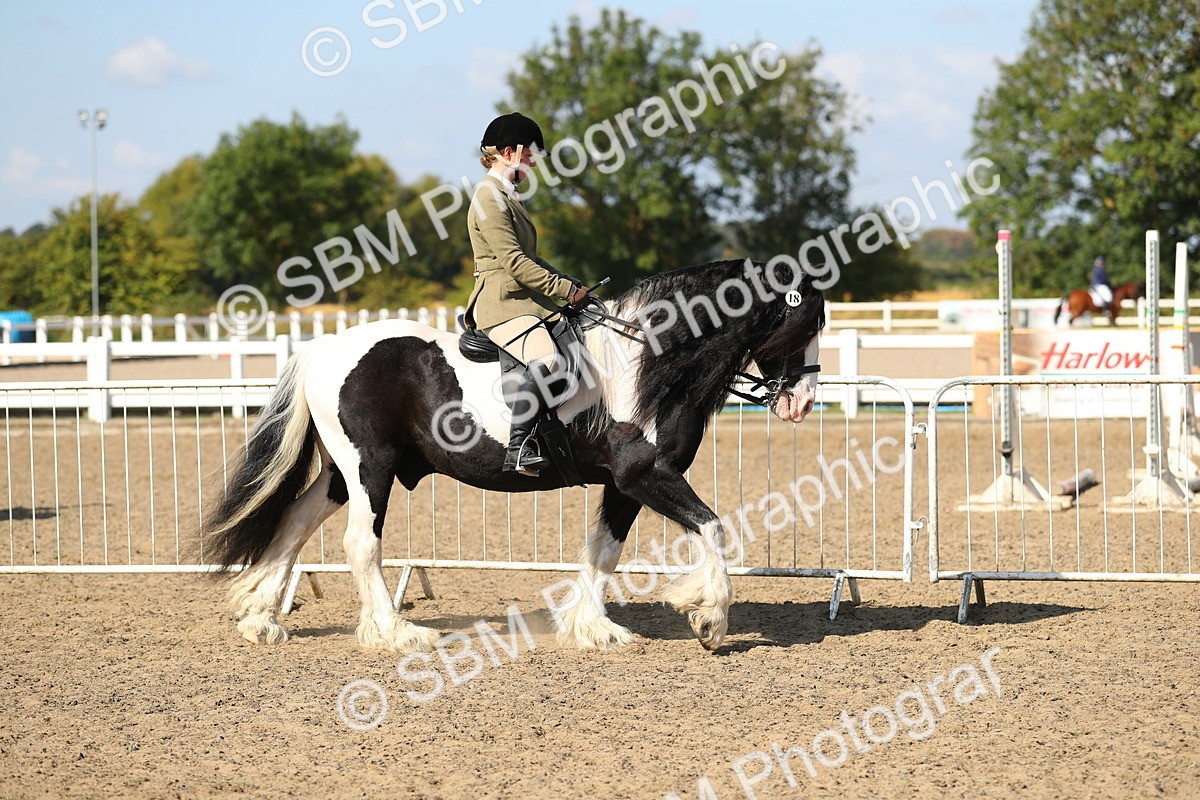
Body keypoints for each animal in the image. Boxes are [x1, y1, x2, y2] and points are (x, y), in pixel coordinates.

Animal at [202, 259, 825, 653]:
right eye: (804, 323)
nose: (802, 402)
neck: (646, 359)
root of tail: (325, 345)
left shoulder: (624, 482)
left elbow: (604, 551)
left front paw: (594, 628)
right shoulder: (644, 472)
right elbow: (713, 527)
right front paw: (708, 617)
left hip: (343, 472)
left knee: (295, 520)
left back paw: (260, 619)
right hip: (369, 468)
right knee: (361, 543)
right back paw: (396, 632)